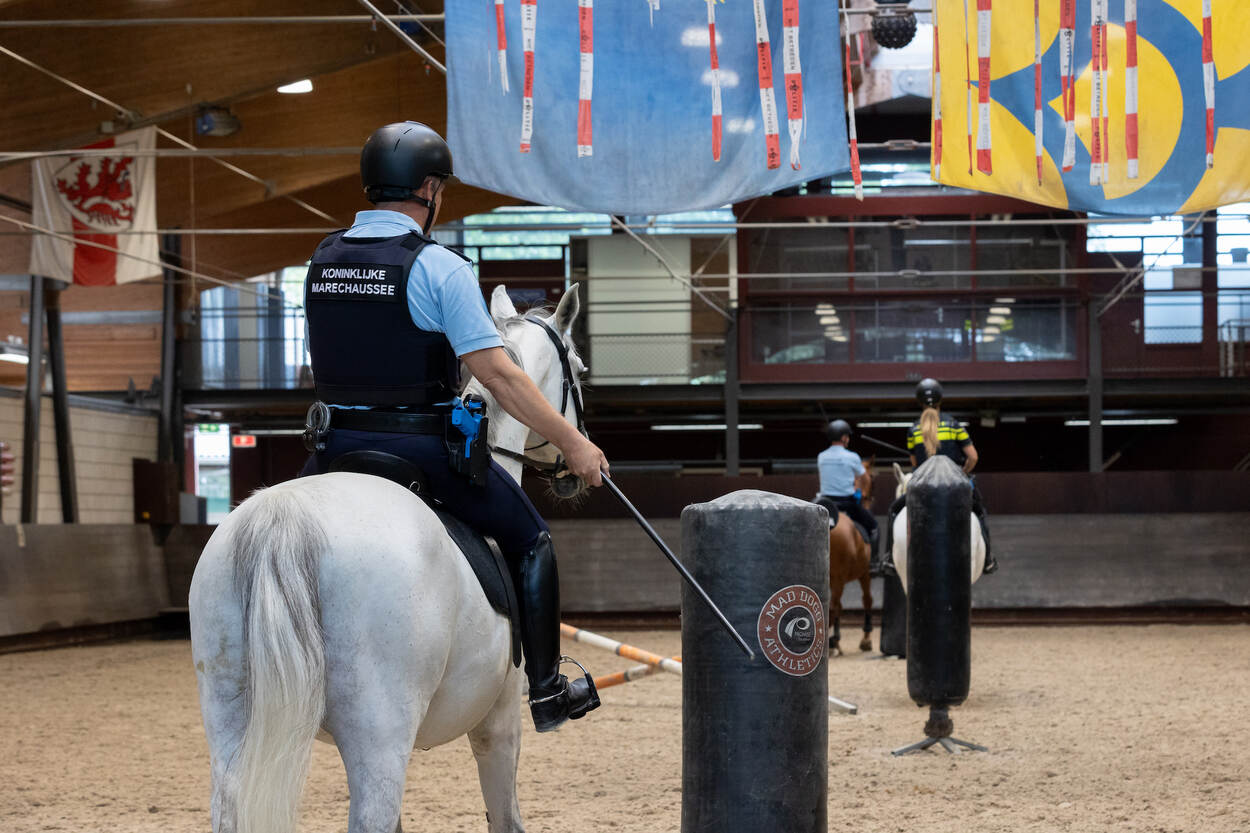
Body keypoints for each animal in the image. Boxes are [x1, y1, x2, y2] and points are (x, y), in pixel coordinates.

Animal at [191, 280, 590, 830]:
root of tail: (283, 517)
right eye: (580, 368)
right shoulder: (499, 722)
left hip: (231, 724)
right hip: (381, 735)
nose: (576, 468)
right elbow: (505, 816)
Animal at [825, 457, 875, 650]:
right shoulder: (865, 573)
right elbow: (867, 599)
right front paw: (866, 638)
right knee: (834, 605)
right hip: (841, 578)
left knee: (834, 605)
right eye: (872, 478)